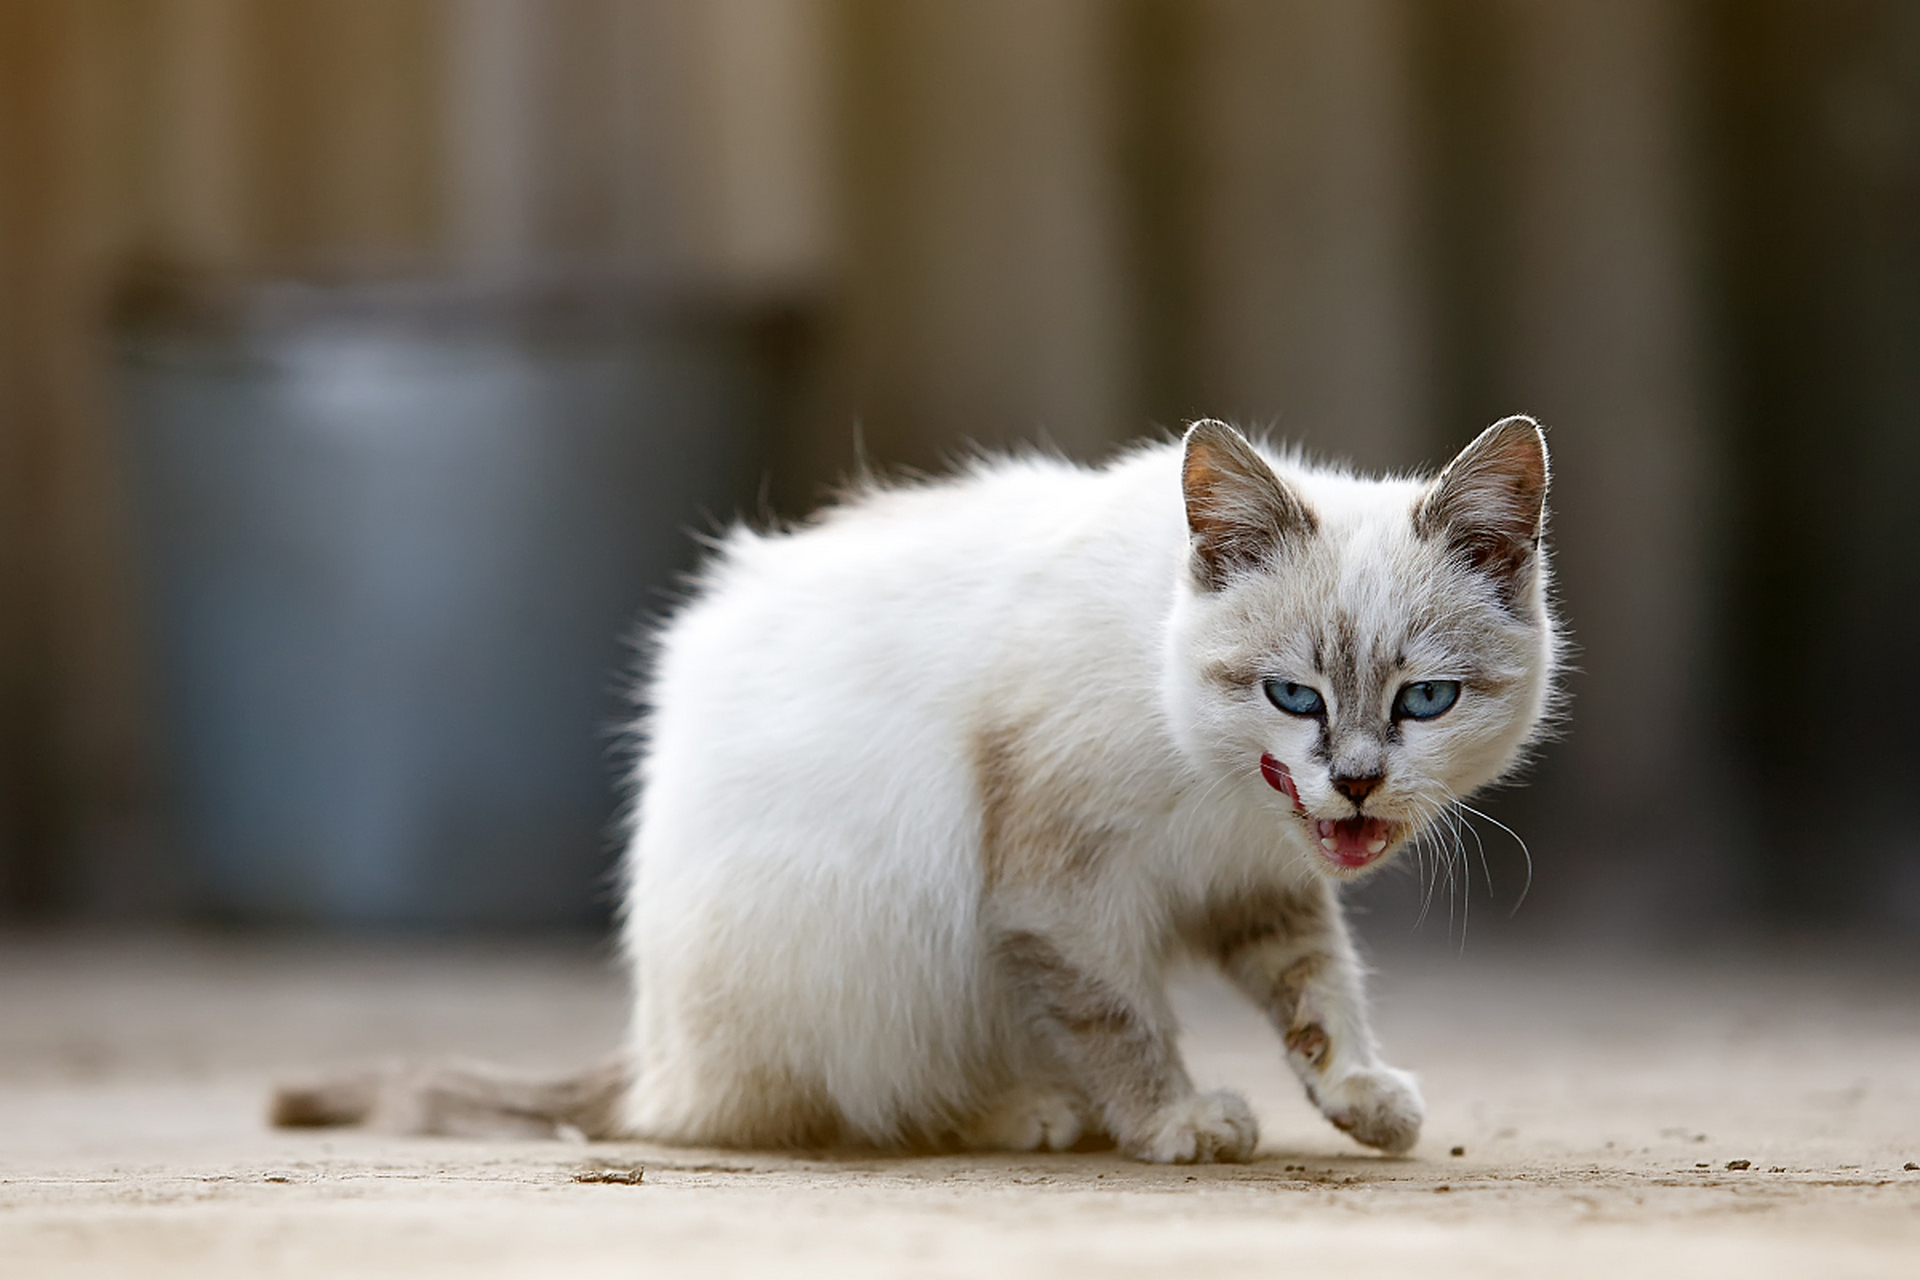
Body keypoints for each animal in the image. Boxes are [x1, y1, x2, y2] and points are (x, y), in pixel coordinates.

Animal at [274, 418, 1559, 1159]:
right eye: (1294, 695)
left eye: (1425, 700)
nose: (1354, 783)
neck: (1213, 781)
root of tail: (651, 1050)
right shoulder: (1059, 891)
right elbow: (1121, 1018)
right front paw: (1173, 1120)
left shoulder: (1259, 879)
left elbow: (1317, 987)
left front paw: (1361, 1095)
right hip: (881, 924)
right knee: (829, 1102)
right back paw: (1032, 1114)